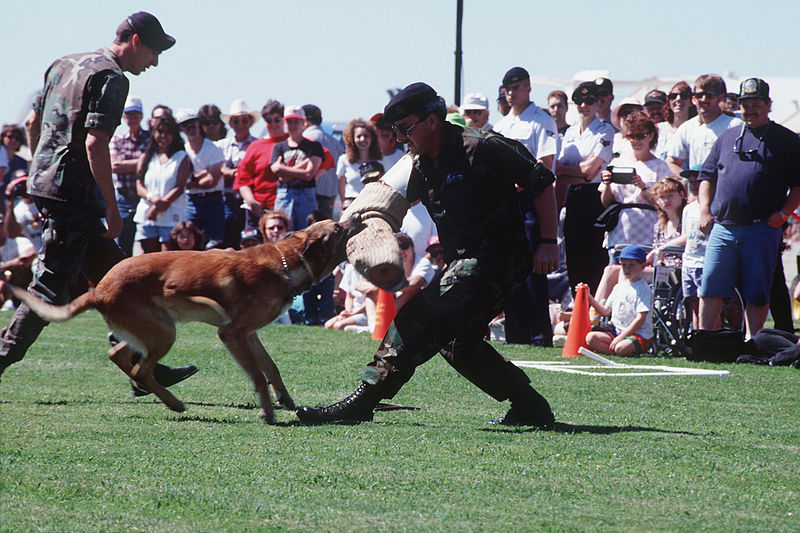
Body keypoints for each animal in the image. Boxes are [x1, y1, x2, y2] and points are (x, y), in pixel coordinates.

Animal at [8, 217, 360, 424]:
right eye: (339, 228)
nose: (355, 215)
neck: (288, 263)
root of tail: (99, 290)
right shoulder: (232, 333)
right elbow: (258, 375)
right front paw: (267, 411)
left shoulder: (250, 334)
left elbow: (271, 367)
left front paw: (284, 400)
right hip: (165, 331)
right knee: (139, 367)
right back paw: (173, 403)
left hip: (152, 328)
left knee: (119, 354)